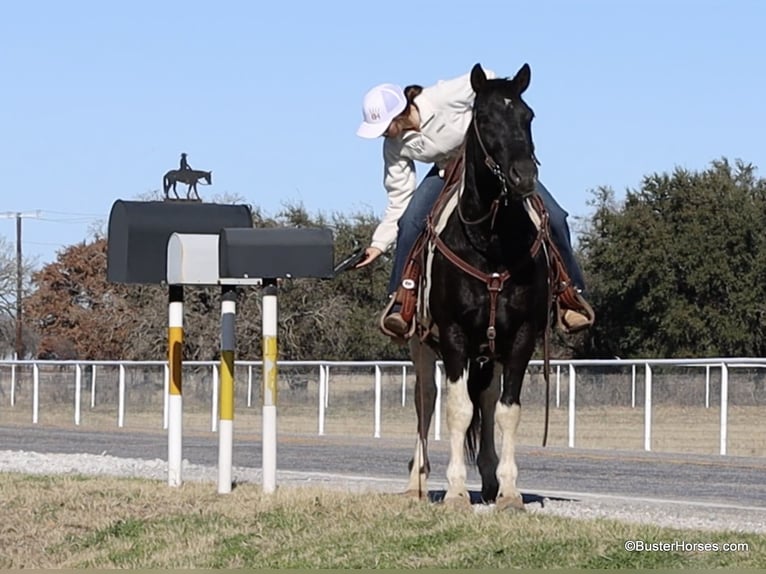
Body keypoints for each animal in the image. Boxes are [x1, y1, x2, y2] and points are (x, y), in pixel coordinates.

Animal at [405, 63, 551, 510]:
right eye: (483, 119)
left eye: (528, 116)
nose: (524, 176)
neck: (490, 242)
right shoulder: (454, 335)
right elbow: (457, 409)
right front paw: (454, 491)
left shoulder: (520, 338)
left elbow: (506, 411)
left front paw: (509, 490)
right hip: (421, 345)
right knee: (425, 403)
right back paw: (417, 482)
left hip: (492, 352)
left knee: (486, 401)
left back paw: (487, 478)